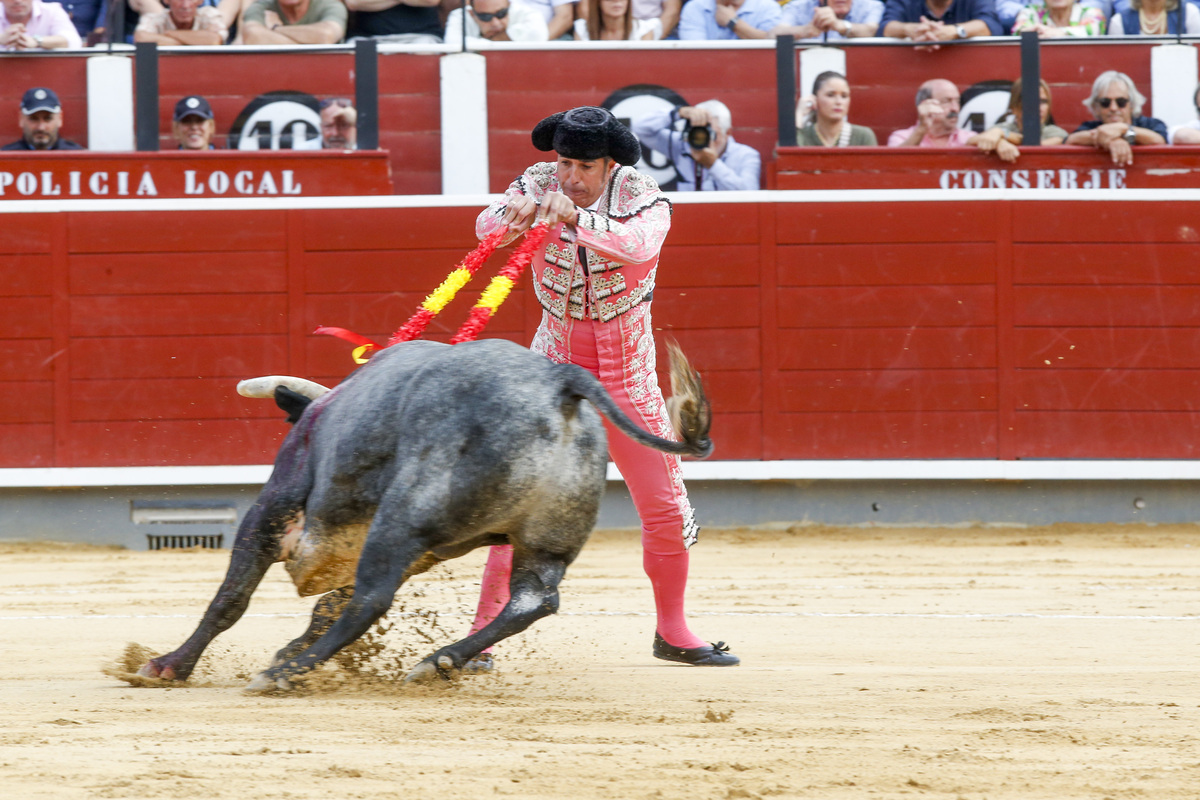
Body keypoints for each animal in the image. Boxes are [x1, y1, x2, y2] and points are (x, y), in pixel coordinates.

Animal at [136, 335, 710, 690]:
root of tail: (560, 384)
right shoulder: (415, 553)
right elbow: (323, 608)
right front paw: (286, 650)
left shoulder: (273, 508)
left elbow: (232, 599)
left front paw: (168, 666)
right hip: (545, 538)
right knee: (534, 600)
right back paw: (438, 662)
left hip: (402, 515)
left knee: (370, 601)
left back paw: (285, 675)